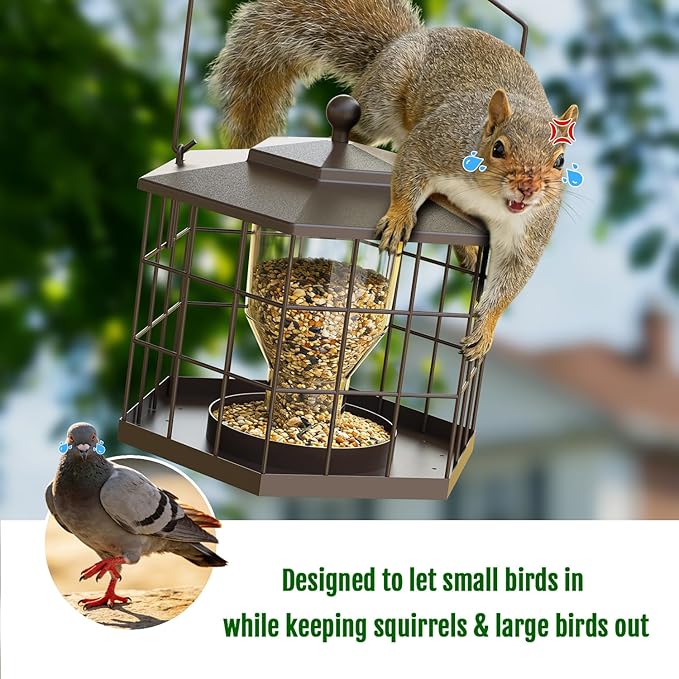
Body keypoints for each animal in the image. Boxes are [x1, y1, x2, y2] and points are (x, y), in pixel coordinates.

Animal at [207, 0, 578, 360]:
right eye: (498, 148)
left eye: (560, 161)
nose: (528, 189)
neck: (487, 197)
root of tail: (404, 39)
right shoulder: (435, 142)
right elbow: (409, 170)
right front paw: (400, 218)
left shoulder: (529, 230)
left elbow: (509, 281)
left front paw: (485, 329)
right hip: (381, 103)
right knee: (364, 131)